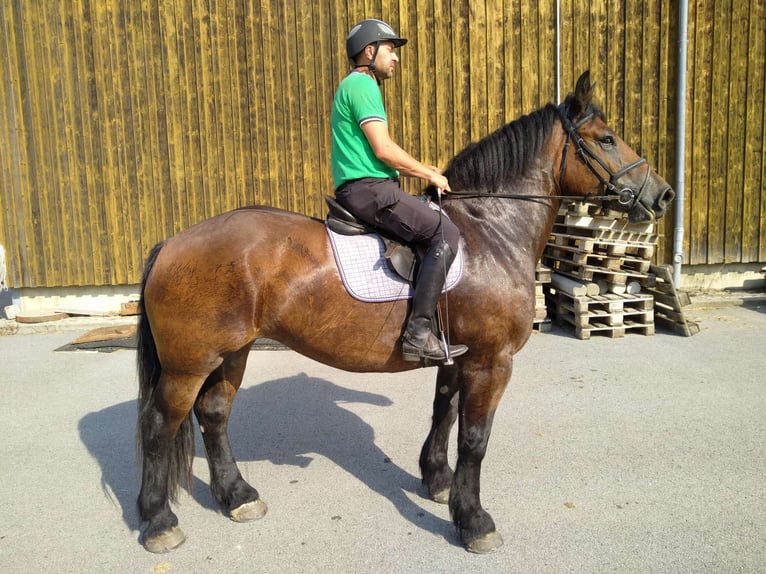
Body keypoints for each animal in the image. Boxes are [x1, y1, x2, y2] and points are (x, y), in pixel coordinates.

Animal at [135, 70, 676, 556]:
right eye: (606, 139)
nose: (664, 194)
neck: (490, 230)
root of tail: (171, 244)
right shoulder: (492, 361)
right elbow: (475, 439)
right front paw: (474, 522)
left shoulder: (460, 355)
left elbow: (445, 412)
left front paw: (438, 482)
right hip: (189, 364)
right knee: (160, 426)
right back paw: (159, 521)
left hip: (232, 352)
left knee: (213, 415)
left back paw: (237, 496)